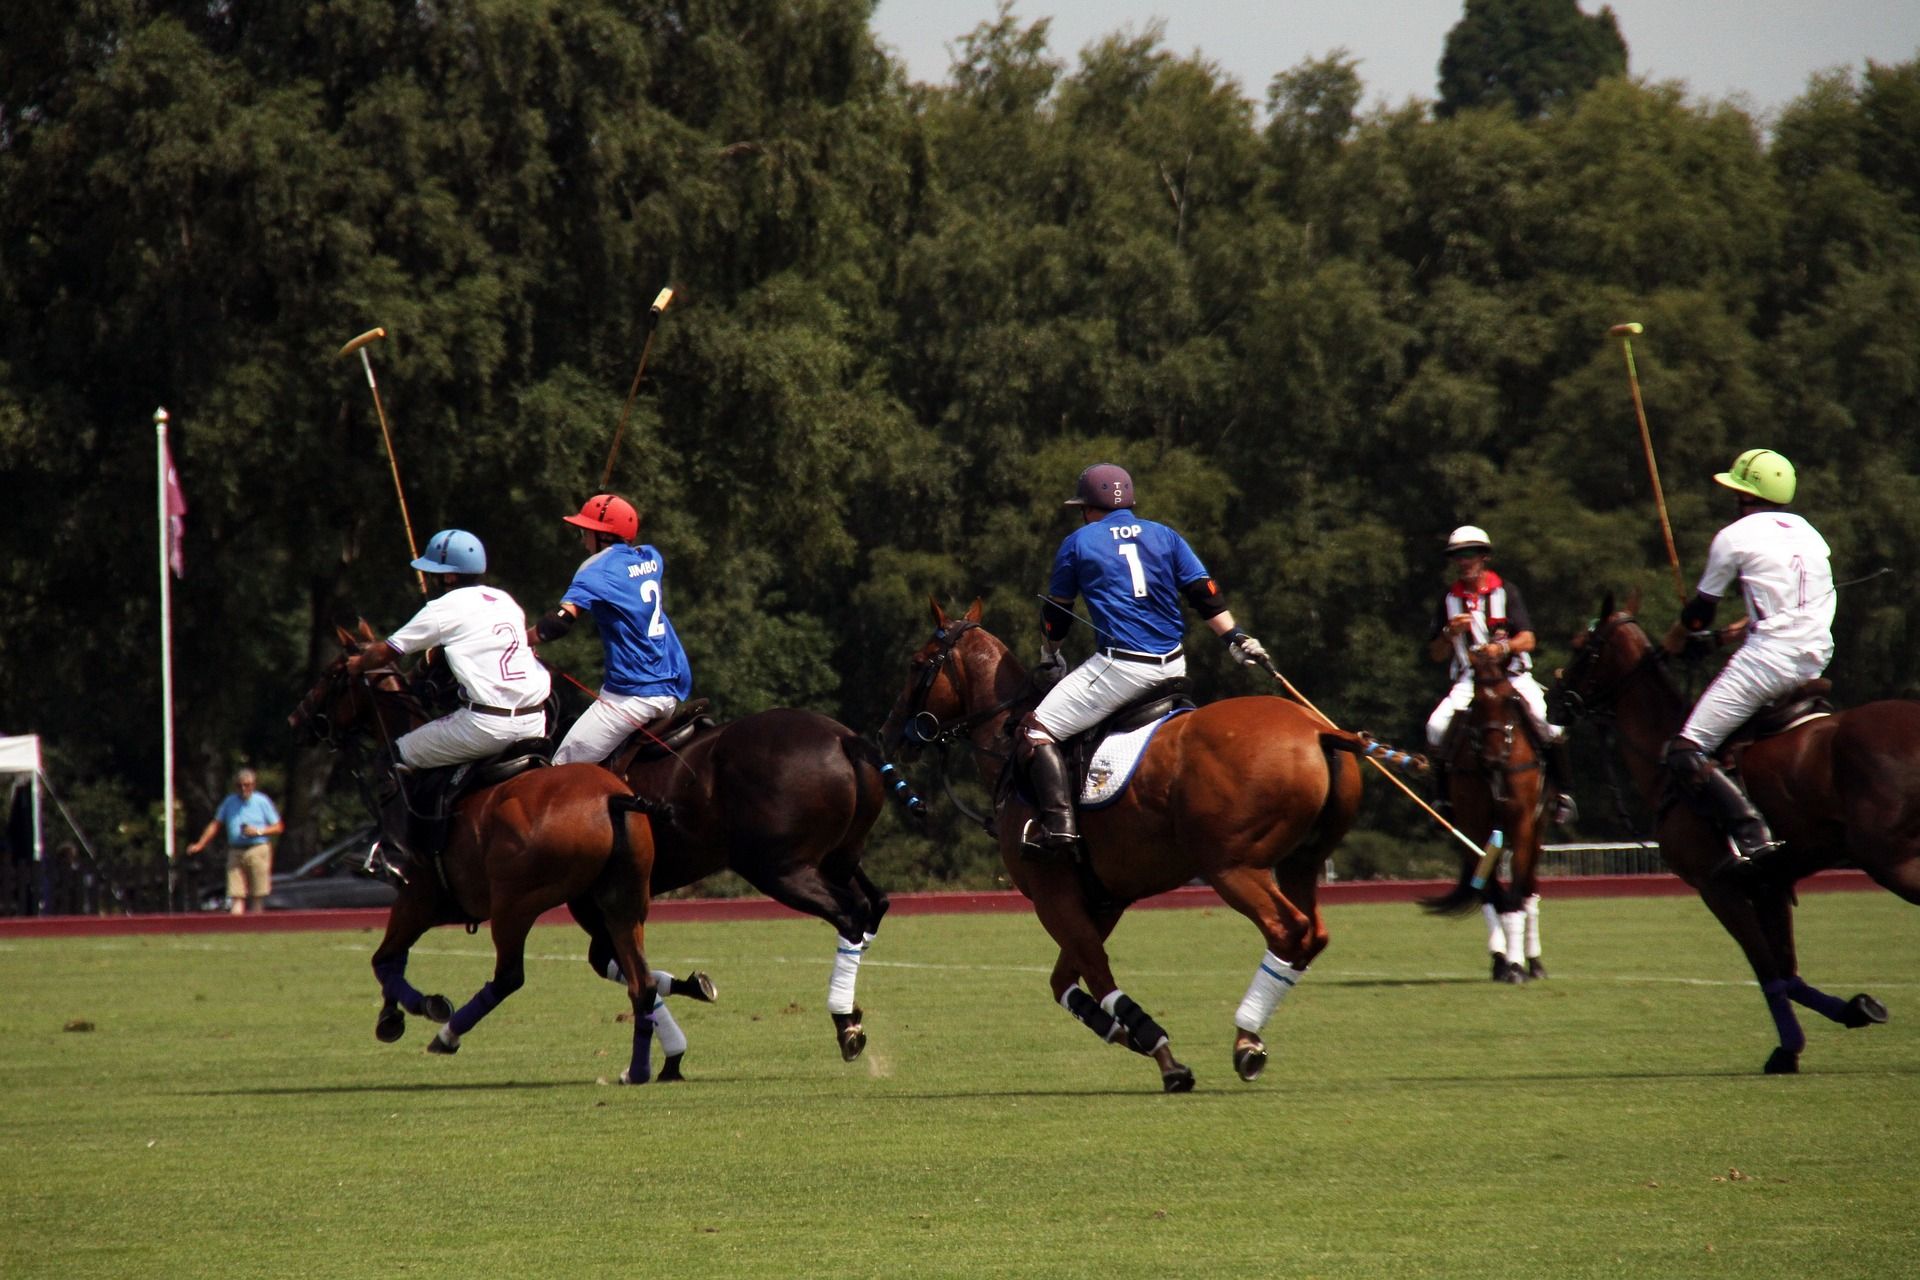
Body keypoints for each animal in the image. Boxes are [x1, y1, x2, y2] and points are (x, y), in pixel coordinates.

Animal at [288, 625, 672, 1090]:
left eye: (332, 674)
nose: (297, 720)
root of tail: (612, 799)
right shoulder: (426, 903)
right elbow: (392, 958)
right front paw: (392, 1015)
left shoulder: (417, 897)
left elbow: (383, 958)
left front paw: (416, 1009)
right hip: (622, 901)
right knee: (641, 982)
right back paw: (638, 1069)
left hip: (515, 904)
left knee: (509, 976)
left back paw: (447, 1035)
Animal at [602, 710, 894, 1059]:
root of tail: (843, 739)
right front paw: (697, 987)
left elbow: (627, 971)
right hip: (838, 858)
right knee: (875, 904)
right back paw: (851, 1010)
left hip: (776, 869)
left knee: (852, 912)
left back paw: (844, 1021)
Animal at [883, 602, 1413, 1090]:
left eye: (915, 662)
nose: (890, 734)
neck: (1009, 743)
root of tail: (1319, 729)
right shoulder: (1104, 898)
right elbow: (1063, 981)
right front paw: (1128, 1034)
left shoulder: (1053, 893)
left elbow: (1095, 973)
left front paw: (1162, 1053)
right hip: (1300, 862)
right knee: (1313, 933)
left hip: (1232, 866)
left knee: (1288, 929)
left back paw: (1246, 1039)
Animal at [1428, 644, 1543, 990]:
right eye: (1476, 701)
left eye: (1509, 699)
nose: (1492, 757)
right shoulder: (1474, 827)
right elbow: (1491, 894)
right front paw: (1503, 963)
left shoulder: (1521, 823)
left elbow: (1517, 893)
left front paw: (1517, 965)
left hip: (1538, 828)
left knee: (1530, 889)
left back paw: (1535, 962)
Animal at [1551, 591, 1912, 1074]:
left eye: (1582, 646)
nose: (1553, 698)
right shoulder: (1770, 884)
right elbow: (1786, 970)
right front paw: (1857, 1009)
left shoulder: (1718, 884)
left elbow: (1767, 971)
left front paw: (1788, 1050)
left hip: (1890, 859)